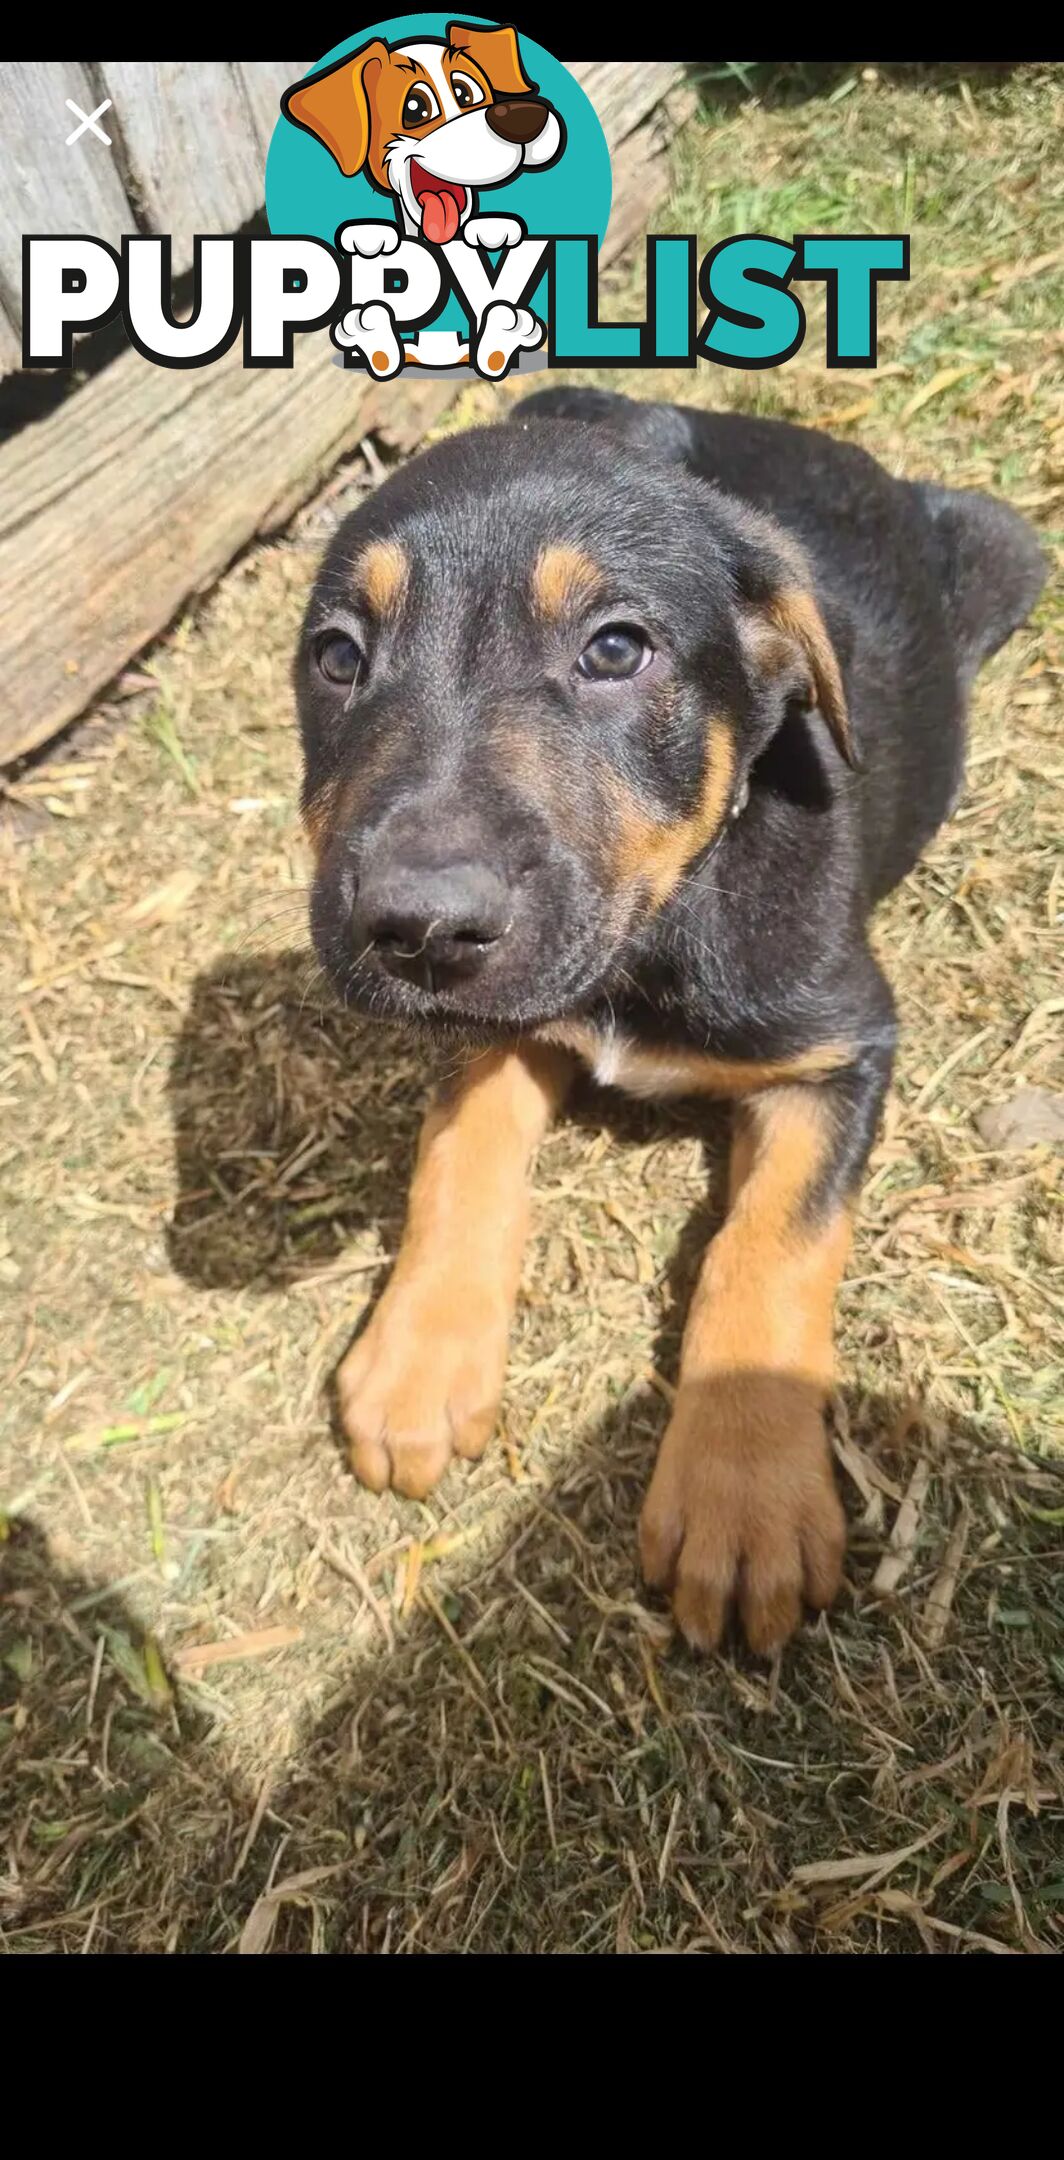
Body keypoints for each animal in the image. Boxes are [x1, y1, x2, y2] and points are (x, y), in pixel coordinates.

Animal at [293, 384, 1040, 1650]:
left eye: (614, 649)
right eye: (338, 658)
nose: (419, 930)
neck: (660, 923)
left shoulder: (841, 1046)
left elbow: (768, 1243)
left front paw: (743, 1493)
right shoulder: (507, 1009)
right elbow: (459, 1147)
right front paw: (418, 1356)